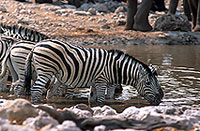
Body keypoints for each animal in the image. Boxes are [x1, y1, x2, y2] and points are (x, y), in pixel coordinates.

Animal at [23, 39, 164, 105]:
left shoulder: (95, 83)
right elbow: (101, 100)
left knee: (48, 92)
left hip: (55, 75)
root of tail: (36, 45)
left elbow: (93, 99)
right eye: (147, 83)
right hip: (45, 71)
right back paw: (37, 104)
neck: (115, 68)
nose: (161, 97)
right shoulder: (102, 81)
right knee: (36, 89)